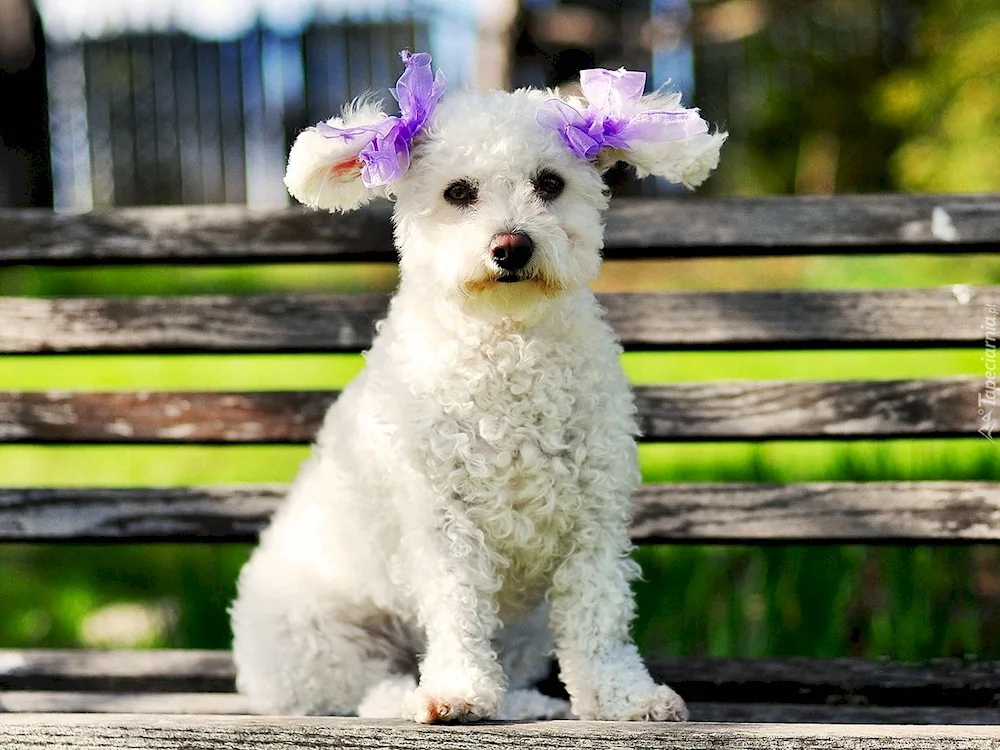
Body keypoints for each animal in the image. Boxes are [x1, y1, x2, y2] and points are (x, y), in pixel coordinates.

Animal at [230, 51, 724, 724]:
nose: (510, 246)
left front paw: (624, 697)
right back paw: (411, 696)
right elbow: (458, 615)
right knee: (359, 690)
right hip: (310, 638)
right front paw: (458, 692)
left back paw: (524, 703)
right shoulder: (443, 526)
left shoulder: (593, 522)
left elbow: (599, 622)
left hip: (527, 625)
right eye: (458, 192)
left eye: (550, 183)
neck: (507, 347)